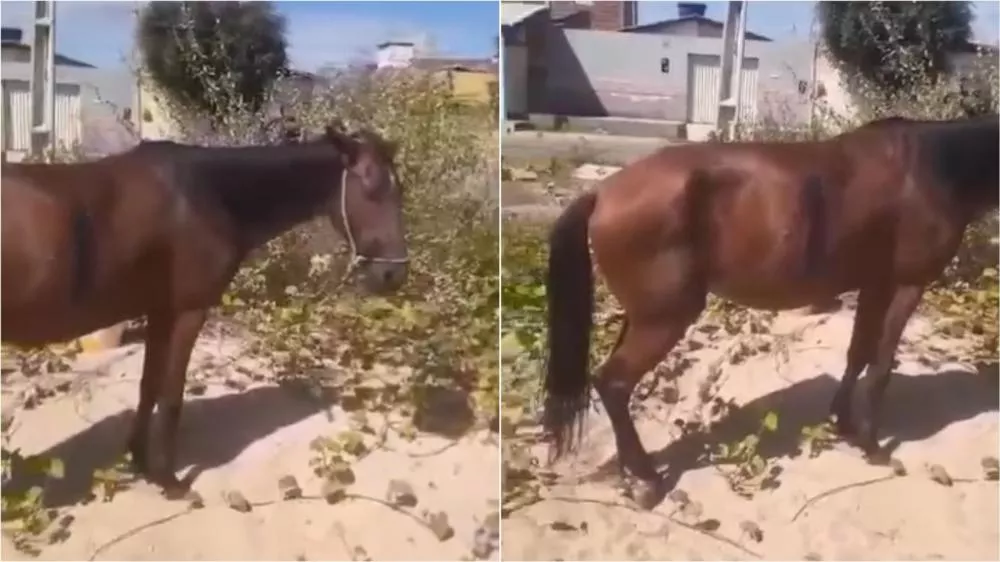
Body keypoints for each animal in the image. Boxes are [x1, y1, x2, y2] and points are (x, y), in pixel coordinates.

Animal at [1, 123, 409, 497]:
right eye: (373, 188)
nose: (394, 273)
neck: (206, 194)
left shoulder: (160, 310)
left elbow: (149, 386)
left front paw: (141, 461)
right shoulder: (189, 311)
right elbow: (172, 396)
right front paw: (169, 480)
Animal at [543, 114, 999, 508]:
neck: (933, 168)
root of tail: (602, 192)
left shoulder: (875, 284)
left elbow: (858, 354)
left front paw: (845, 424)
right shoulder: (906, 285)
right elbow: (881, 367)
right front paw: (872, 446)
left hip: (643, 317)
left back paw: (630, 470)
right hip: (664, 320)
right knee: (615, 383)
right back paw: (646, 478)